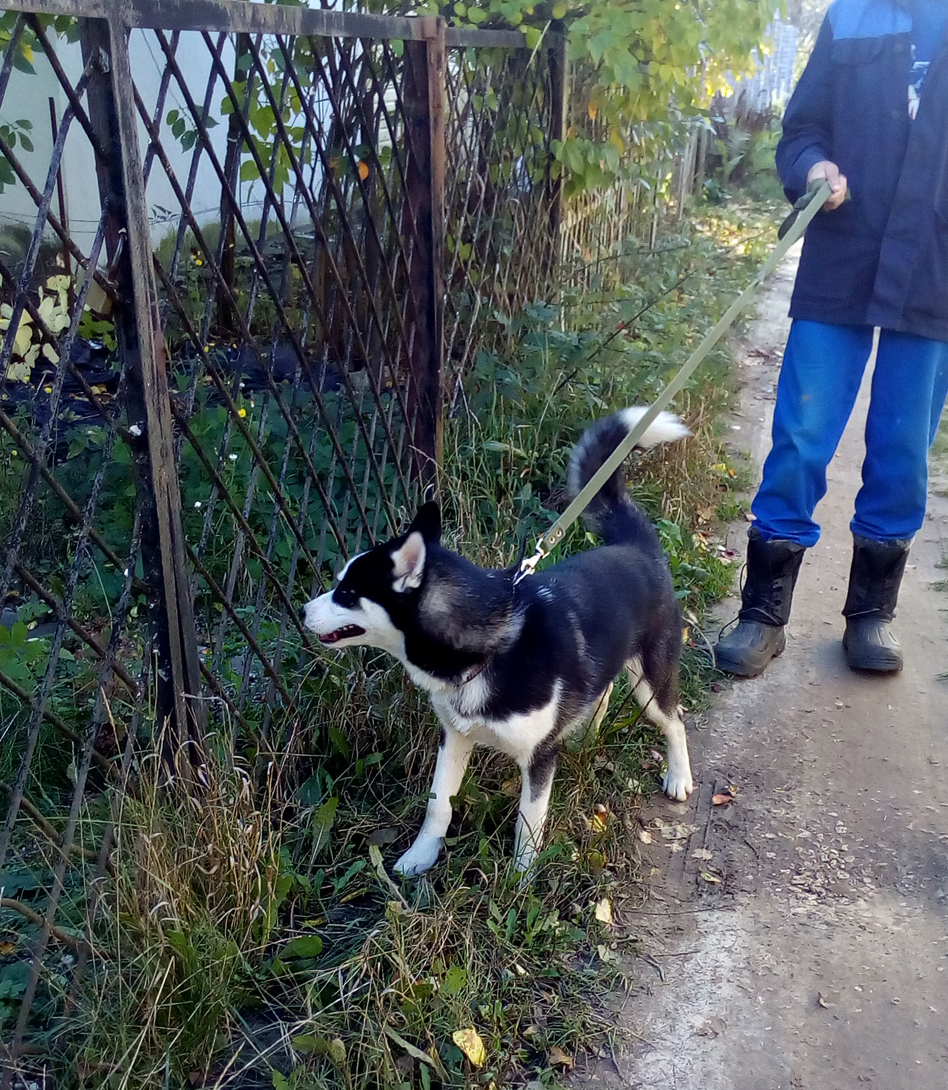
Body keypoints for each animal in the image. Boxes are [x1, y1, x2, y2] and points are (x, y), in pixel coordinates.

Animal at [305, 409, 697, 876]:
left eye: (346, 593)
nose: (304, 611)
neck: (490, 652)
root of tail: (637, 547)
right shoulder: (454, 737)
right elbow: (438, 804)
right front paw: (420, 856)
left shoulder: (539, 758)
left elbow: (528, 822)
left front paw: (521, 878)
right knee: (601, 692)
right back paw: (585, 735)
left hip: (651, 682)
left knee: (674, 721)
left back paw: (679, 776)